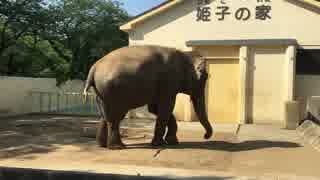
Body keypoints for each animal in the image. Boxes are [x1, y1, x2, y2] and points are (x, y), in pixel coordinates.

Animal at [82, 45, 212, 149]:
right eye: (205, 78)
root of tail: (93, 68)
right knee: (115, 118)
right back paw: (117, 147)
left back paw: (102, 145)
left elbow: (155, 109)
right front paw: (159, 144)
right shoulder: (169, 81)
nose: (205, 136)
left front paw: (172, 142)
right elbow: (165, 108)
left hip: (101, 93)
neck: (184, 54)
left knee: (105, 116)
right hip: (111, 92)